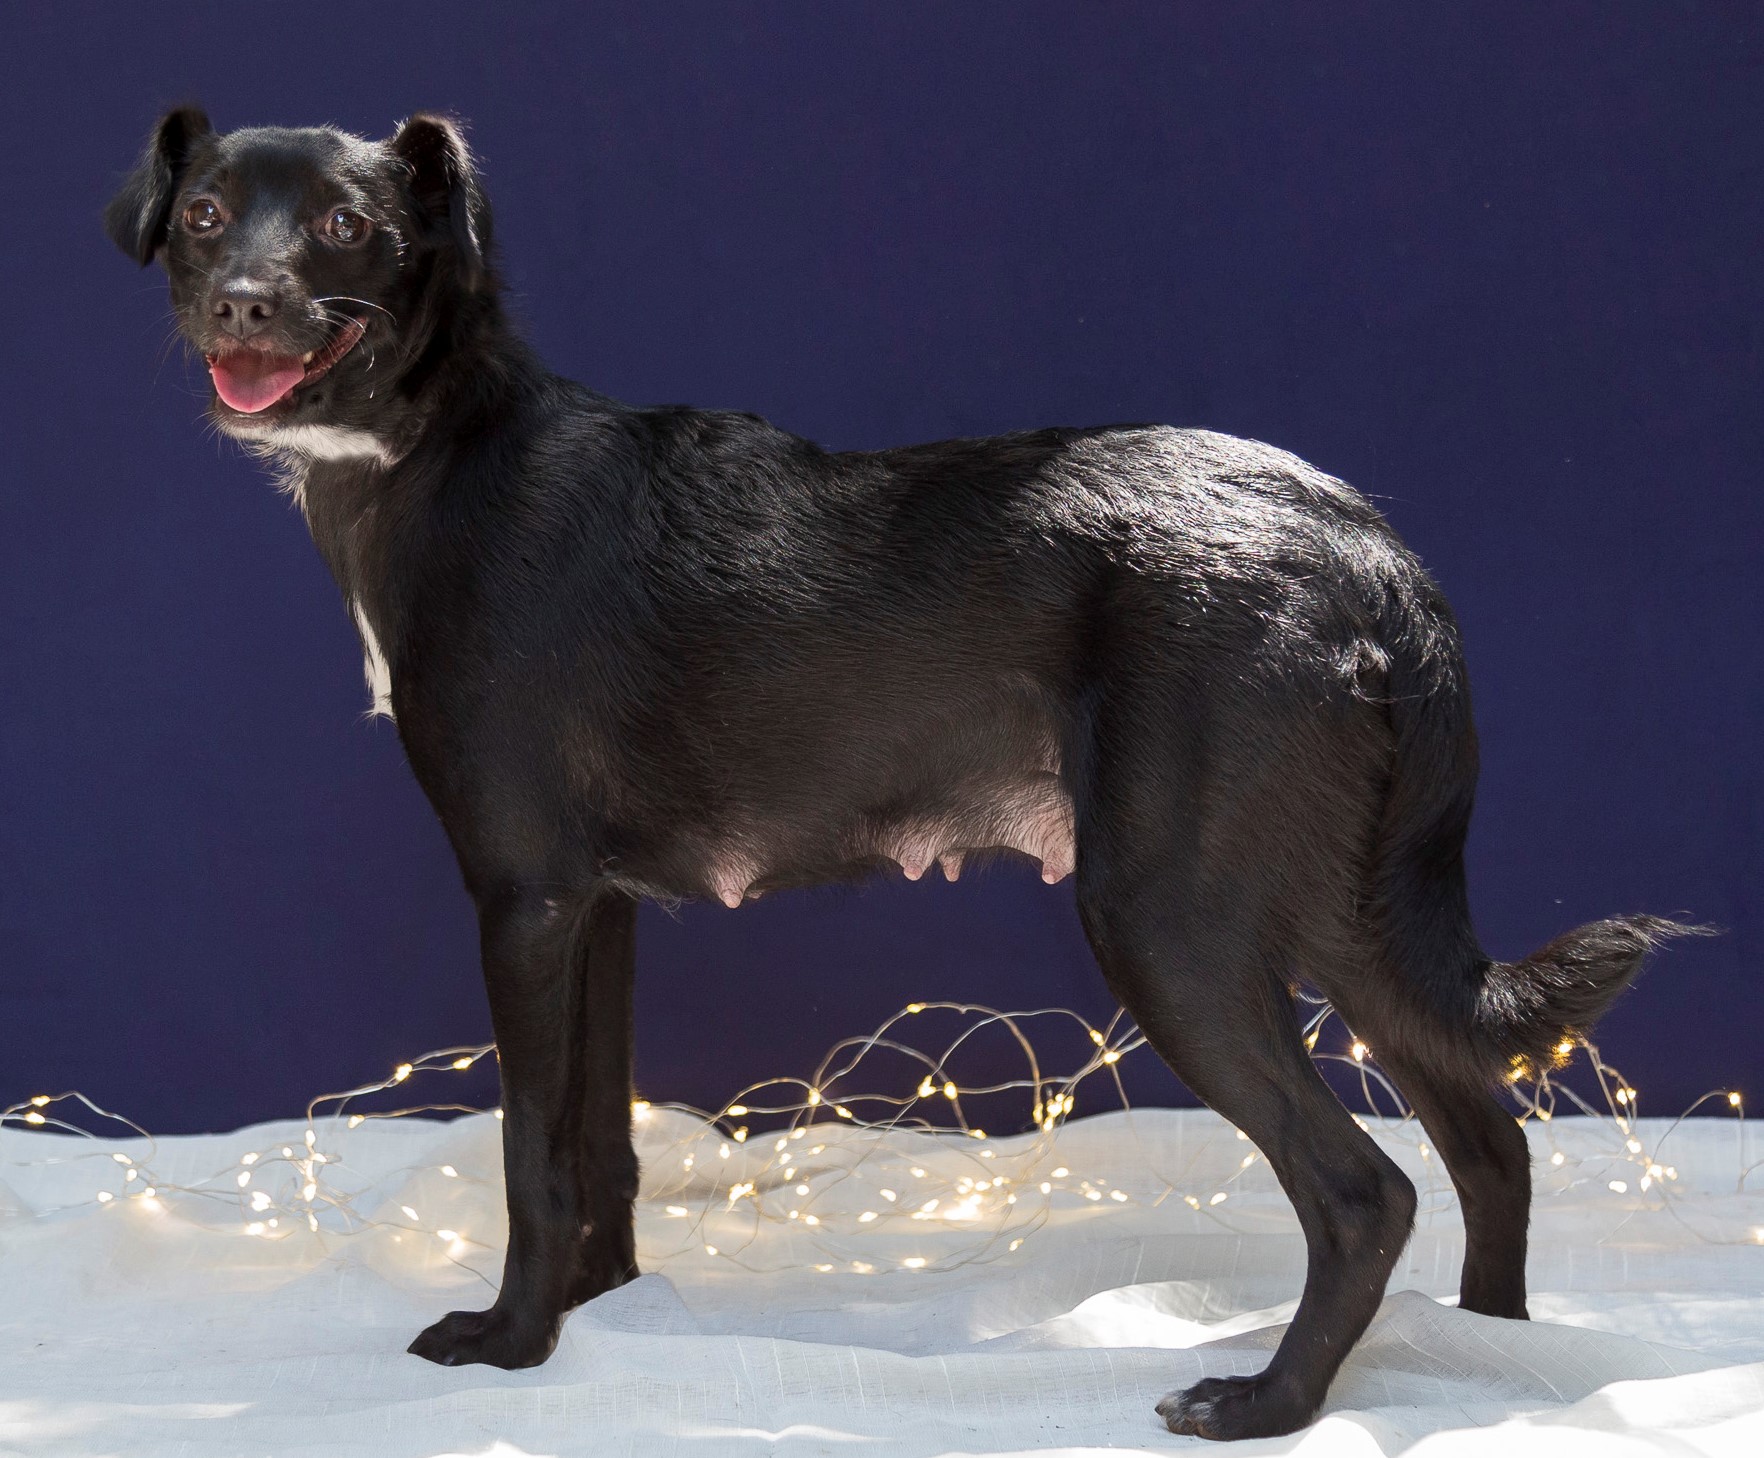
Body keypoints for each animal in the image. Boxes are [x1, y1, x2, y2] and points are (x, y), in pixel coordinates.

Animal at [106, 108, 1693, 1445]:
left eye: (345, 227)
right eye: (202, 215)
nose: (240, 302)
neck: (444, 442)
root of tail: (1367, 547)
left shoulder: (522, 901)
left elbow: (527, 1151)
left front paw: (515, 1342)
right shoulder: (594, 911)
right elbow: (601, 1145)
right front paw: (608, 1310)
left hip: (1177, 920)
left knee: (1368, 1190)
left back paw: (1271, 1402)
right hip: (1343, 908)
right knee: (1491, 1139)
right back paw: (1489, 1351)